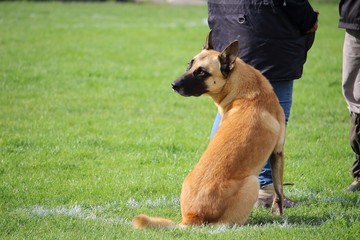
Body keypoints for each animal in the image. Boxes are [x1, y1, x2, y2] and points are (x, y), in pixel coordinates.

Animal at [131, 31, 284, 229]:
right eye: (189, 65)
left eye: (201, 72)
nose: (173, 84)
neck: (245, 91)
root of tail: (192, 216)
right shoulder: (278, 151)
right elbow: (279, 190)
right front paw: (279, 210)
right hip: (252, 183)